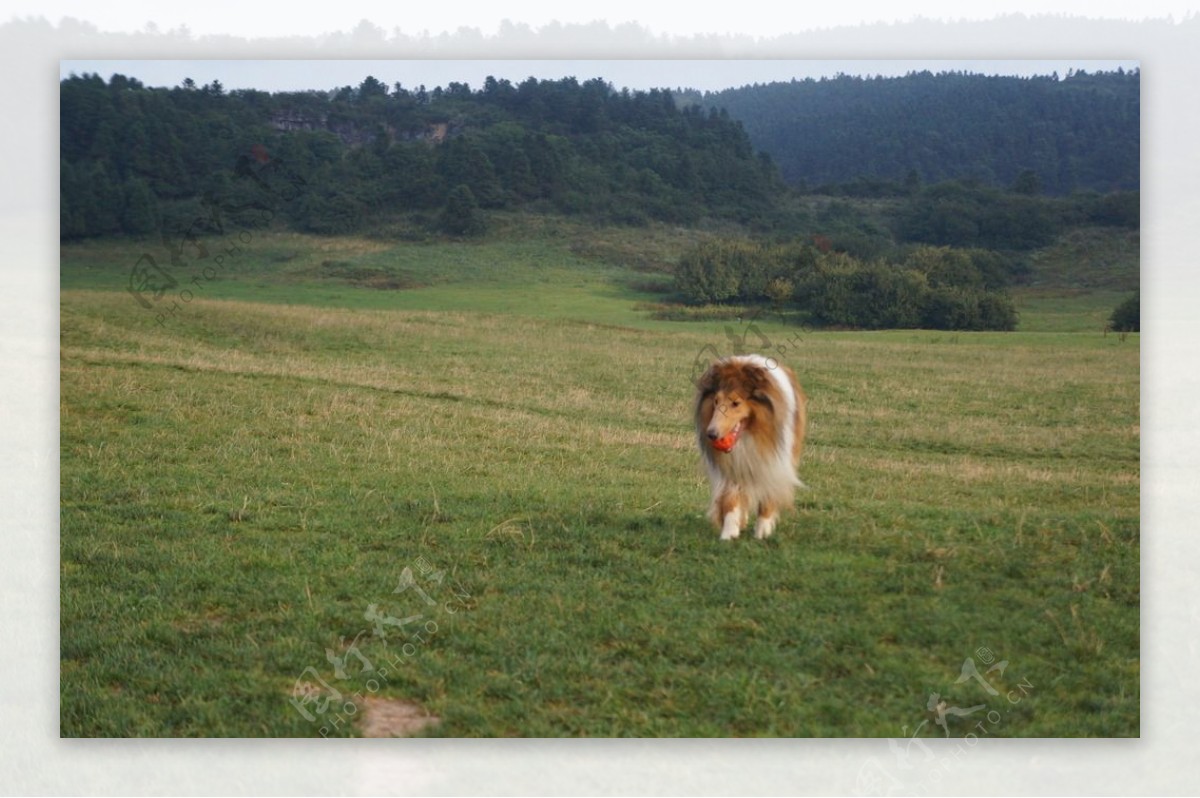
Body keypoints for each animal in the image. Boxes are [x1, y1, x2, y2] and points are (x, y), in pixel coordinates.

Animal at [696, 355, 806, 537]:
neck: (749, 434)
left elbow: (768, 496)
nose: (711, 434)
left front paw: (762, 532)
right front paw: (729, 532)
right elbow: (731, 498)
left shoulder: (774, 463)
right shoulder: (732, 466)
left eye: (736, 403)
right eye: (716, 401)